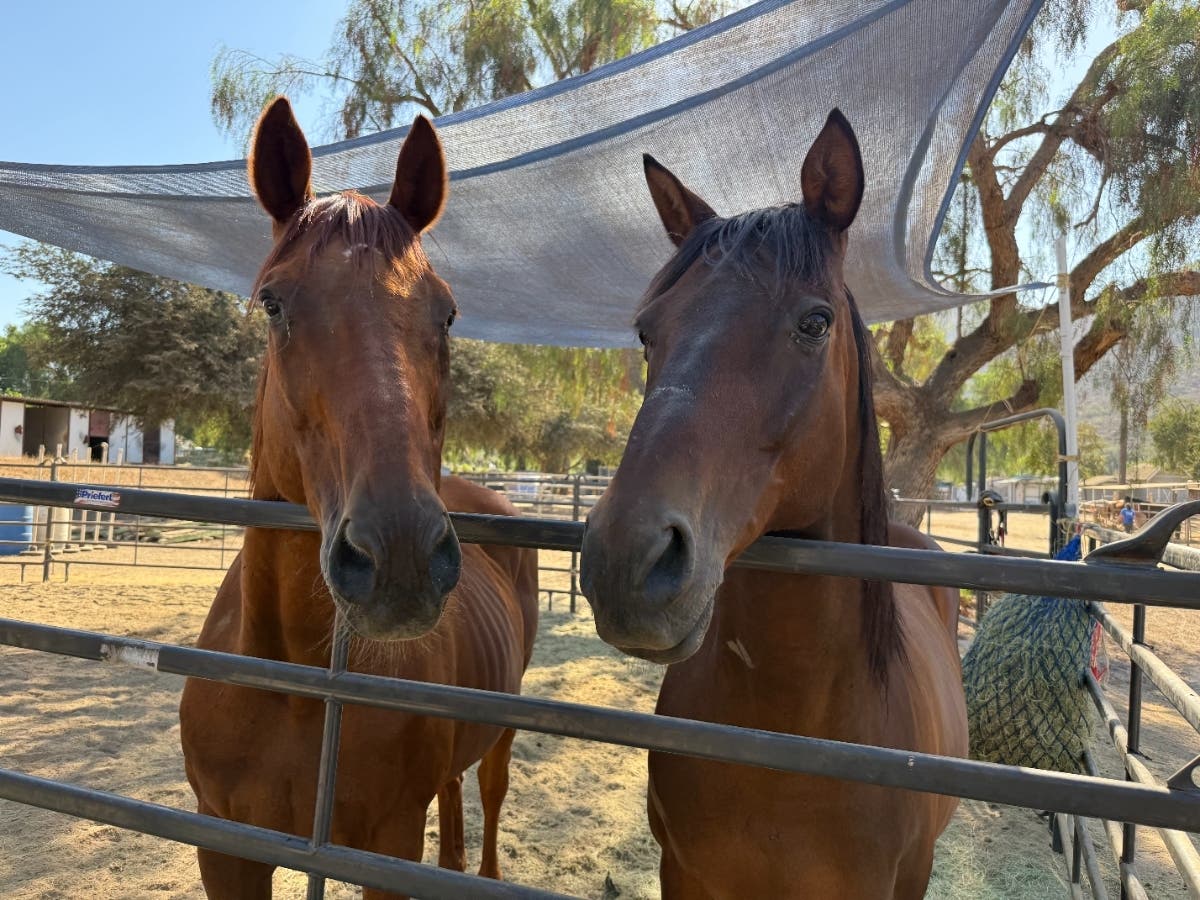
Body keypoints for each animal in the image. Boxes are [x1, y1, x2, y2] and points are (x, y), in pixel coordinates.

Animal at [179, 97, 539, 899]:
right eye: (273, 302)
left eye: (447, 313)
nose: (400, 557)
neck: (296, 683)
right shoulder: (225, 846)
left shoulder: (387, 844)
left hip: (500, 732)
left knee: (490, 802)